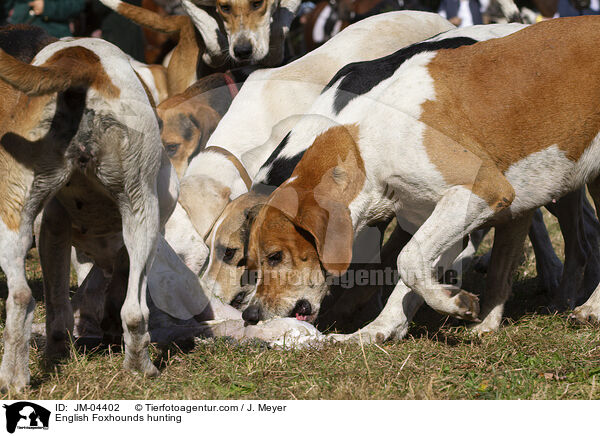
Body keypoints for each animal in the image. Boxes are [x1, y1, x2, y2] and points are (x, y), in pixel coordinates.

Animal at [241, 17, 600, 340]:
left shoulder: (482, 190)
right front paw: (376, 331)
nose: (250, 314)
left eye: (275, 257)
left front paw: (455, 303)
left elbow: (407, 259)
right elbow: (409, 276)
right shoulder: (440, 220)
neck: (369, 140)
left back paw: (589, 308)